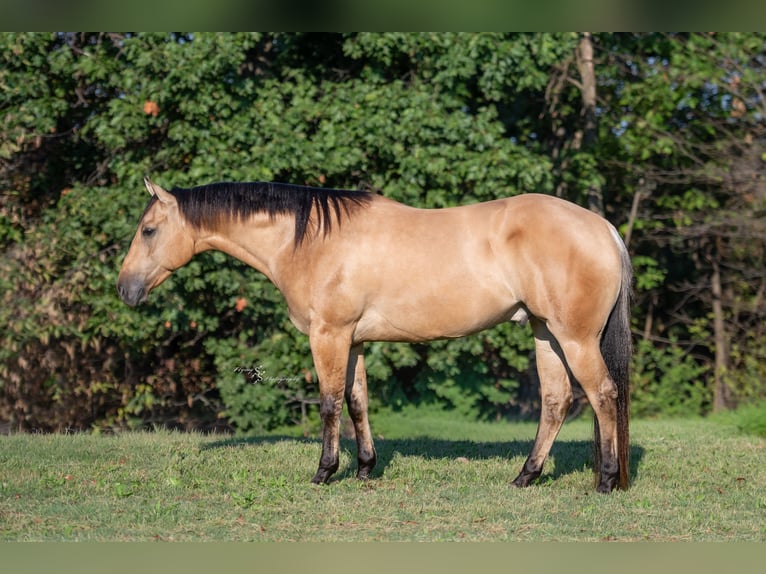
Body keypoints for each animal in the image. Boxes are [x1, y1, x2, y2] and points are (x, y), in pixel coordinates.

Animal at [117, 177, 632, 493]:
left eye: (149, 230)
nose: (125, 289)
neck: (311, 241)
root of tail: (604, 228)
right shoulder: (355, 341)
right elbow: (357, 401)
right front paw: (365, 469)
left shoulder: (328, 335)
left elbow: (329, 403)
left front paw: (325, 472)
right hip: (546, 334)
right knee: (556, 401)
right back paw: (525, 477)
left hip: (575, 338)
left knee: (604, 395)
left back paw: (606, 480)